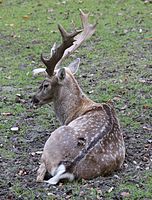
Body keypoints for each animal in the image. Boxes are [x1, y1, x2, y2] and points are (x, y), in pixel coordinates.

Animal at [31, 9, 124, 184]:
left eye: (45, 84)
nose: (33, 100)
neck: (75, 110)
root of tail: (68, 167)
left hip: (53, 139)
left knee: (40, 175)